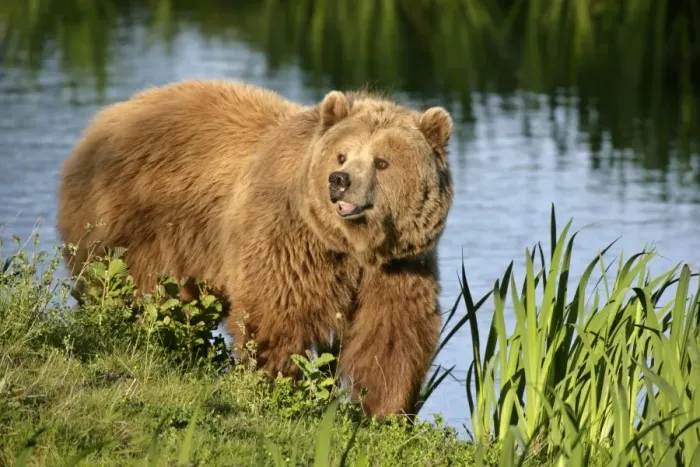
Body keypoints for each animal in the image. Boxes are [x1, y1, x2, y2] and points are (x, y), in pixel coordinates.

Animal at [56, 79, 454, 417]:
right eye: (342, 155)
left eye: (382, 161)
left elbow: (391, 336)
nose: (339, 181)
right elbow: (276, 313)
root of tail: (104, 119)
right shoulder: (291, 238)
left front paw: (382, 411)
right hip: (137, 224)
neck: (352, 246)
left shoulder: (399, 265)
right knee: (135, 292)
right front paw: (275, 385)